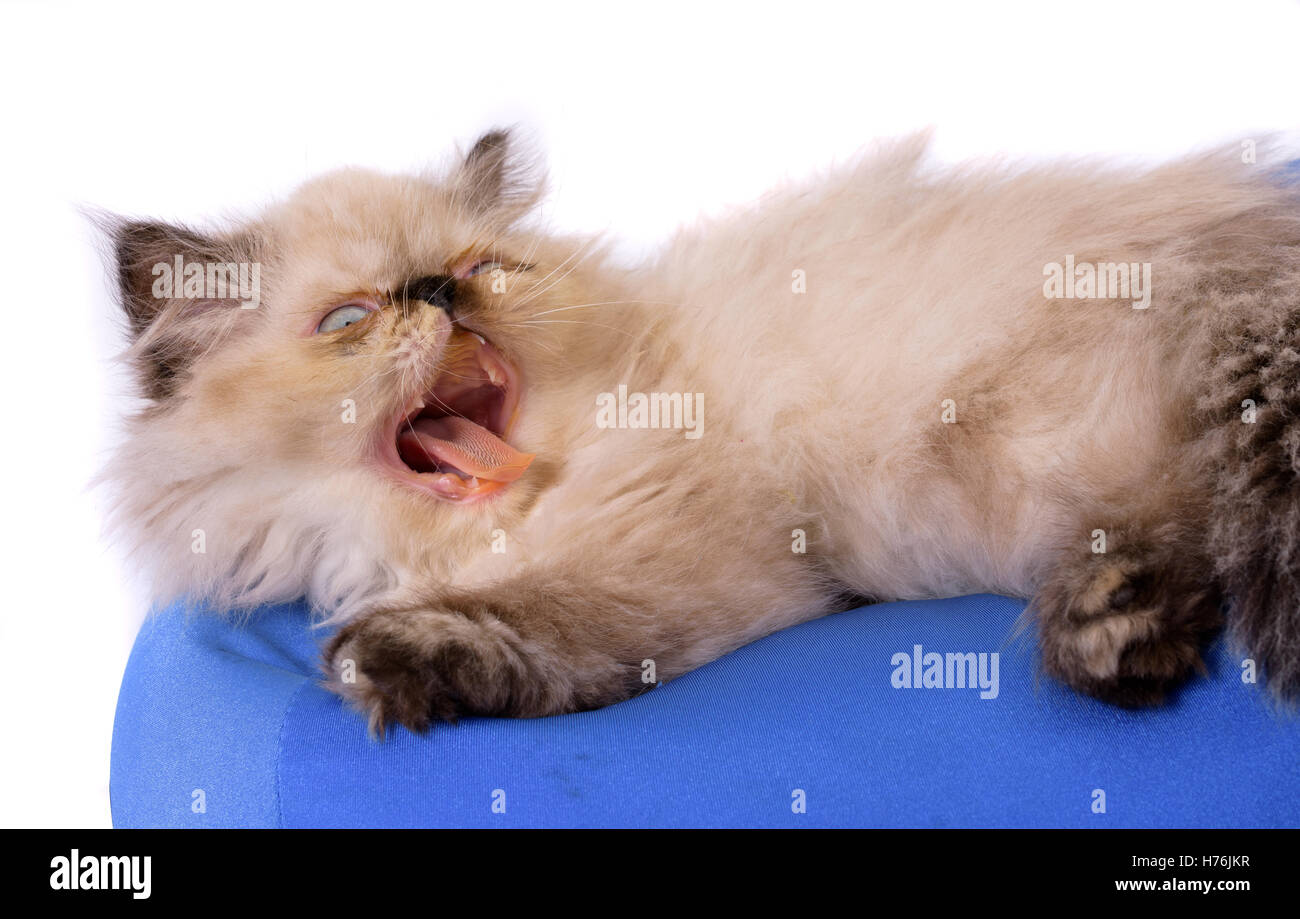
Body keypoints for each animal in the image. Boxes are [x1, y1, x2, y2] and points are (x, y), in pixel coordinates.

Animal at [101, 127, 1300, 733]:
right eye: (349, 322)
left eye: (484, 269)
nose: (439, 293)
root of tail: (1253, 252)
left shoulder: (690, 560)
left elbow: (547, 622)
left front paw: (390, 664)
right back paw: (1120, 635)